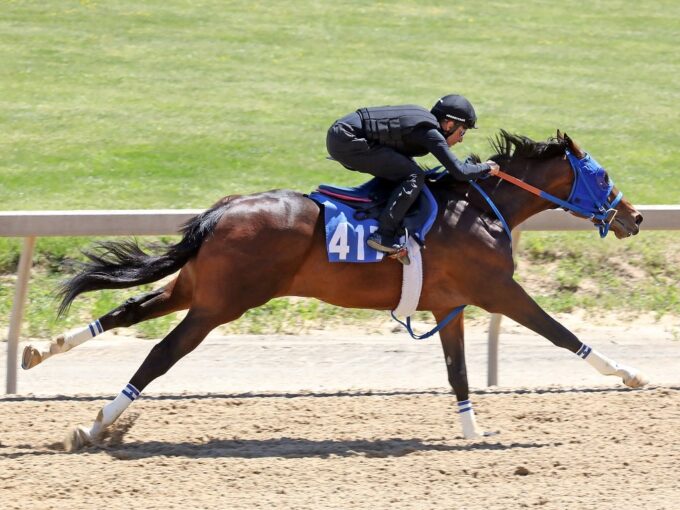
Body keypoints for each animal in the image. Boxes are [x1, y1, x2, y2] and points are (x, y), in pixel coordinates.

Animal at [21, 129, 644, 448]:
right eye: (603, 176)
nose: (634, 217)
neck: (481, 208)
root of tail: (222, 211)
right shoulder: (498, 291)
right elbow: (560, 334)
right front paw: (629, 374)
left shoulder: (450, 305)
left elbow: (458, 373)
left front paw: (473, 430)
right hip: (221, 305)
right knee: (159, 355)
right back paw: (94, 424)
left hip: (197, 289)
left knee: (127, 310)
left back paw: (39, 352)